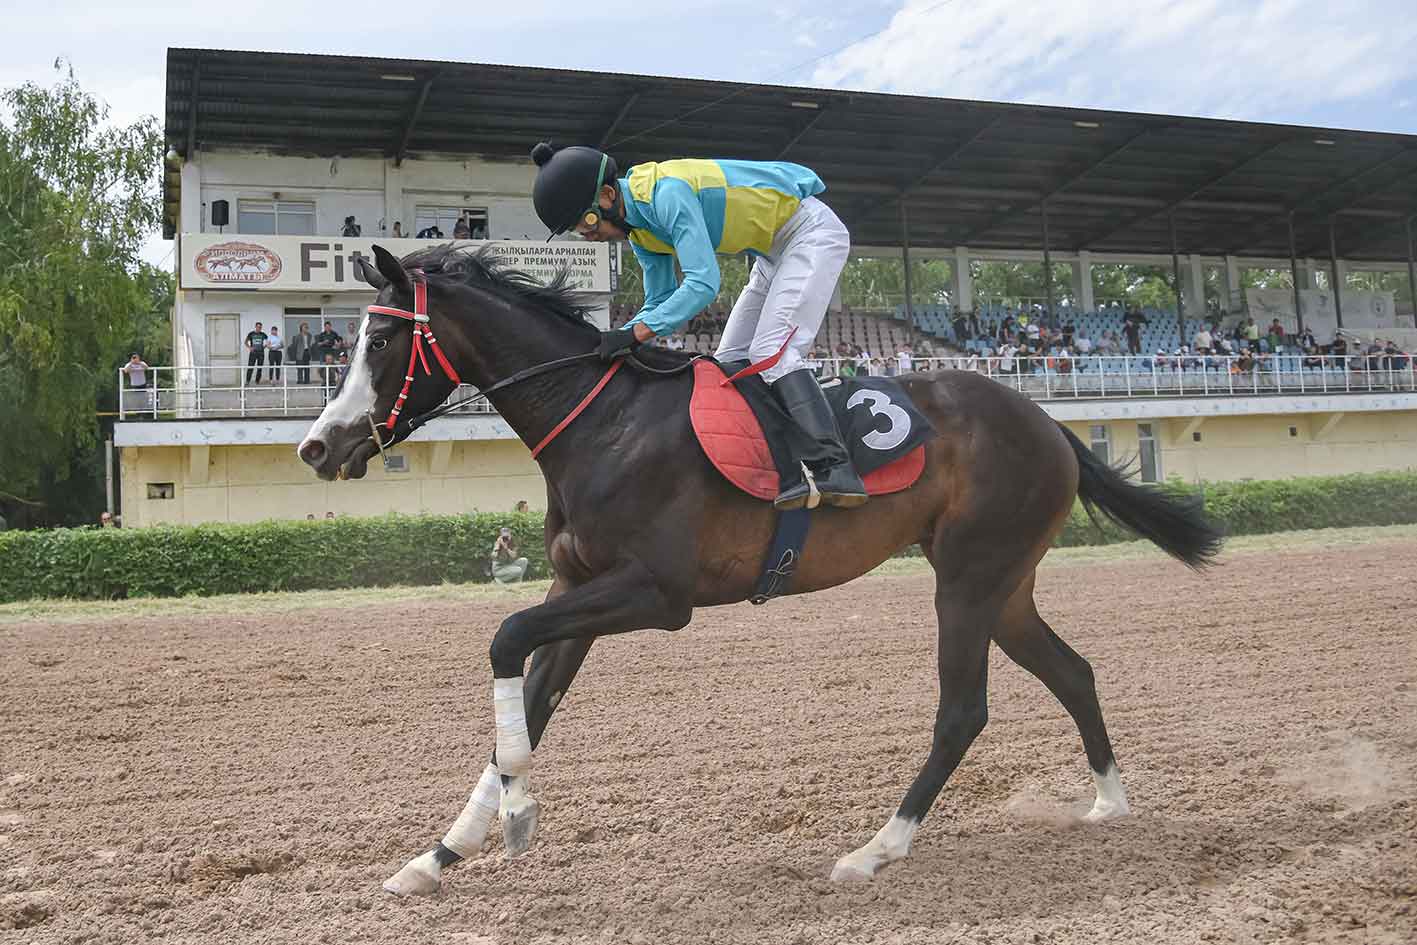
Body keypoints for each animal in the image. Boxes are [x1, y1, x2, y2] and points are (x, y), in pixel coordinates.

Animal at [297, 244, 1222, 896]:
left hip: (967, 578)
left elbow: (505, 638)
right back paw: (1107, 800)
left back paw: (875, 849)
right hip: (1003, 583)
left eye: (381, 339)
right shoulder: (577, 587)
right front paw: (438, 854)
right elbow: (530, 695)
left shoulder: (657, 593)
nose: (317, 446)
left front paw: (517, 815)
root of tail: (1051, 424)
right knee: (1071, 670)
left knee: (963, 709)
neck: (605, 421)